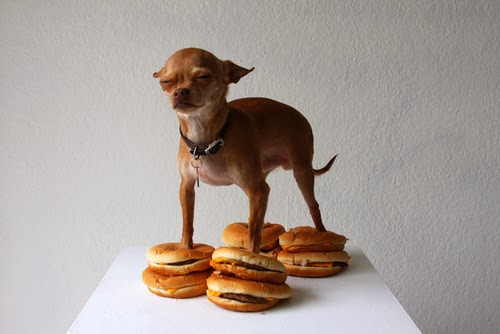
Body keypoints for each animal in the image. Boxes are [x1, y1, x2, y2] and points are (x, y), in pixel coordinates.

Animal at [153, 48, 336, 252]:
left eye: (203, 77)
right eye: (166, 82)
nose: (179, 92)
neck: (207, 141)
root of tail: (302, 117)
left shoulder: (257, 190)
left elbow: (254, 237)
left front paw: (252, 255)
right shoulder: (187, 187)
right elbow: (187, 224)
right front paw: (185, 248)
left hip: (301, 172)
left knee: (313, 206)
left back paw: (322, 235)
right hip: (262, 175)